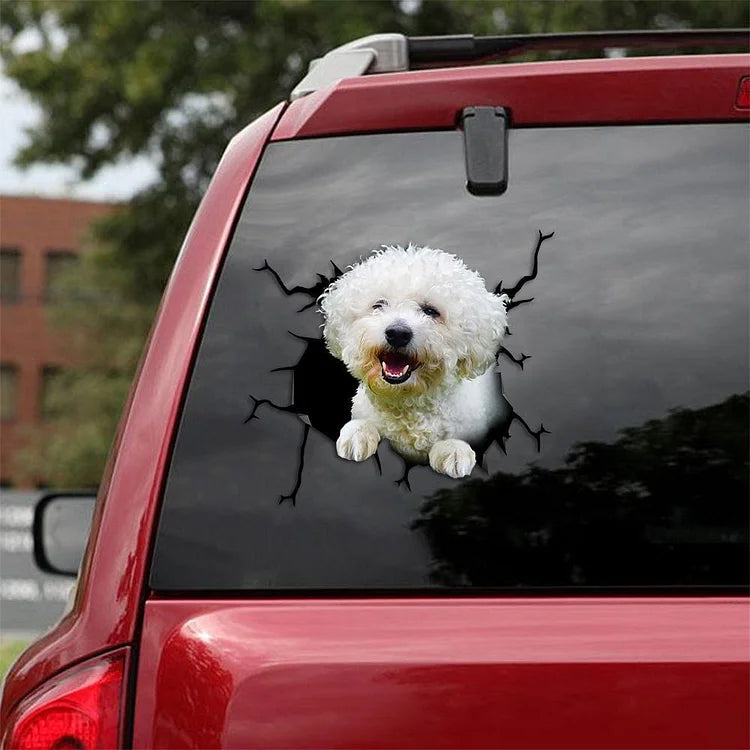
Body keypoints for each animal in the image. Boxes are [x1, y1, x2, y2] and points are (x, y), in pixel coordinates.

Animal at [318, 247, 512, 482]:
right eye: (379, 305)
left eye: (431, 311)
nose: (397, 333)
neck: (407, 404)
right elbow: (365, 423)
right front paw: (358, 434)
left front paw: (453, 450)